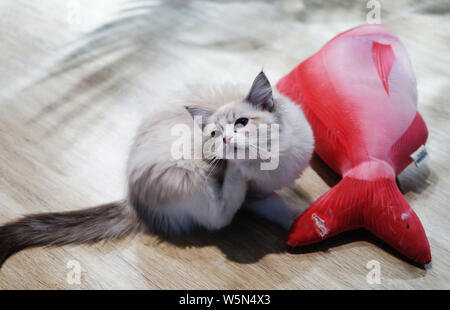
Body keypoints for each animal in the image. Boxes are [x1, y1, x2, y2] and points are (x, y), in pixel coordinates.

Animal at [0, 71, 312, 266]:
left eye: (242, 123)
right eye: (213, 134)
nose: (224, 141)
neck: (265, 164)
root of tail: (132, 200)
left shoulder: (261, 192)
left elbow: (277, 203)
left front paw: (300, 220)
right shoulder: (251, 195)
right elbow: (269, 204)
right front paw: (300, 222)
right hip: (189, 176)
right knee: (220, 217)